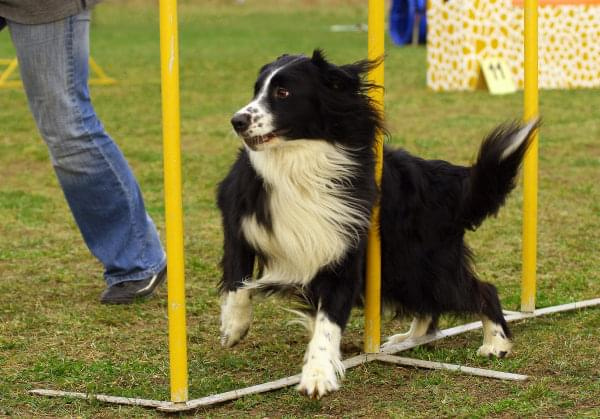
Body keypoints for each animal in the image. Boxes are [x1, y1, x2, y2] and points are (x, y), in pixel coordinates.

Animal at [217, 50, 540, 398]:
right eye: (256, 90)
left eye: (283, 92)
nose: (237, 121)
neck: (299, 162)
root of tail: (447, 181)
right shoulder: (240, 222)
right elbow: (238, 280)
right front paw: (234, 327)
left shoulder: (344, 248)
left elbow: (328, 321)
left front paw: (318, 375)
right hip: (402, 268)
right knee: (431, 301)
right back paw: (410, 338)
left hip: (418, 261)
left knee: (481, 290)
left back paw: (496, 344)